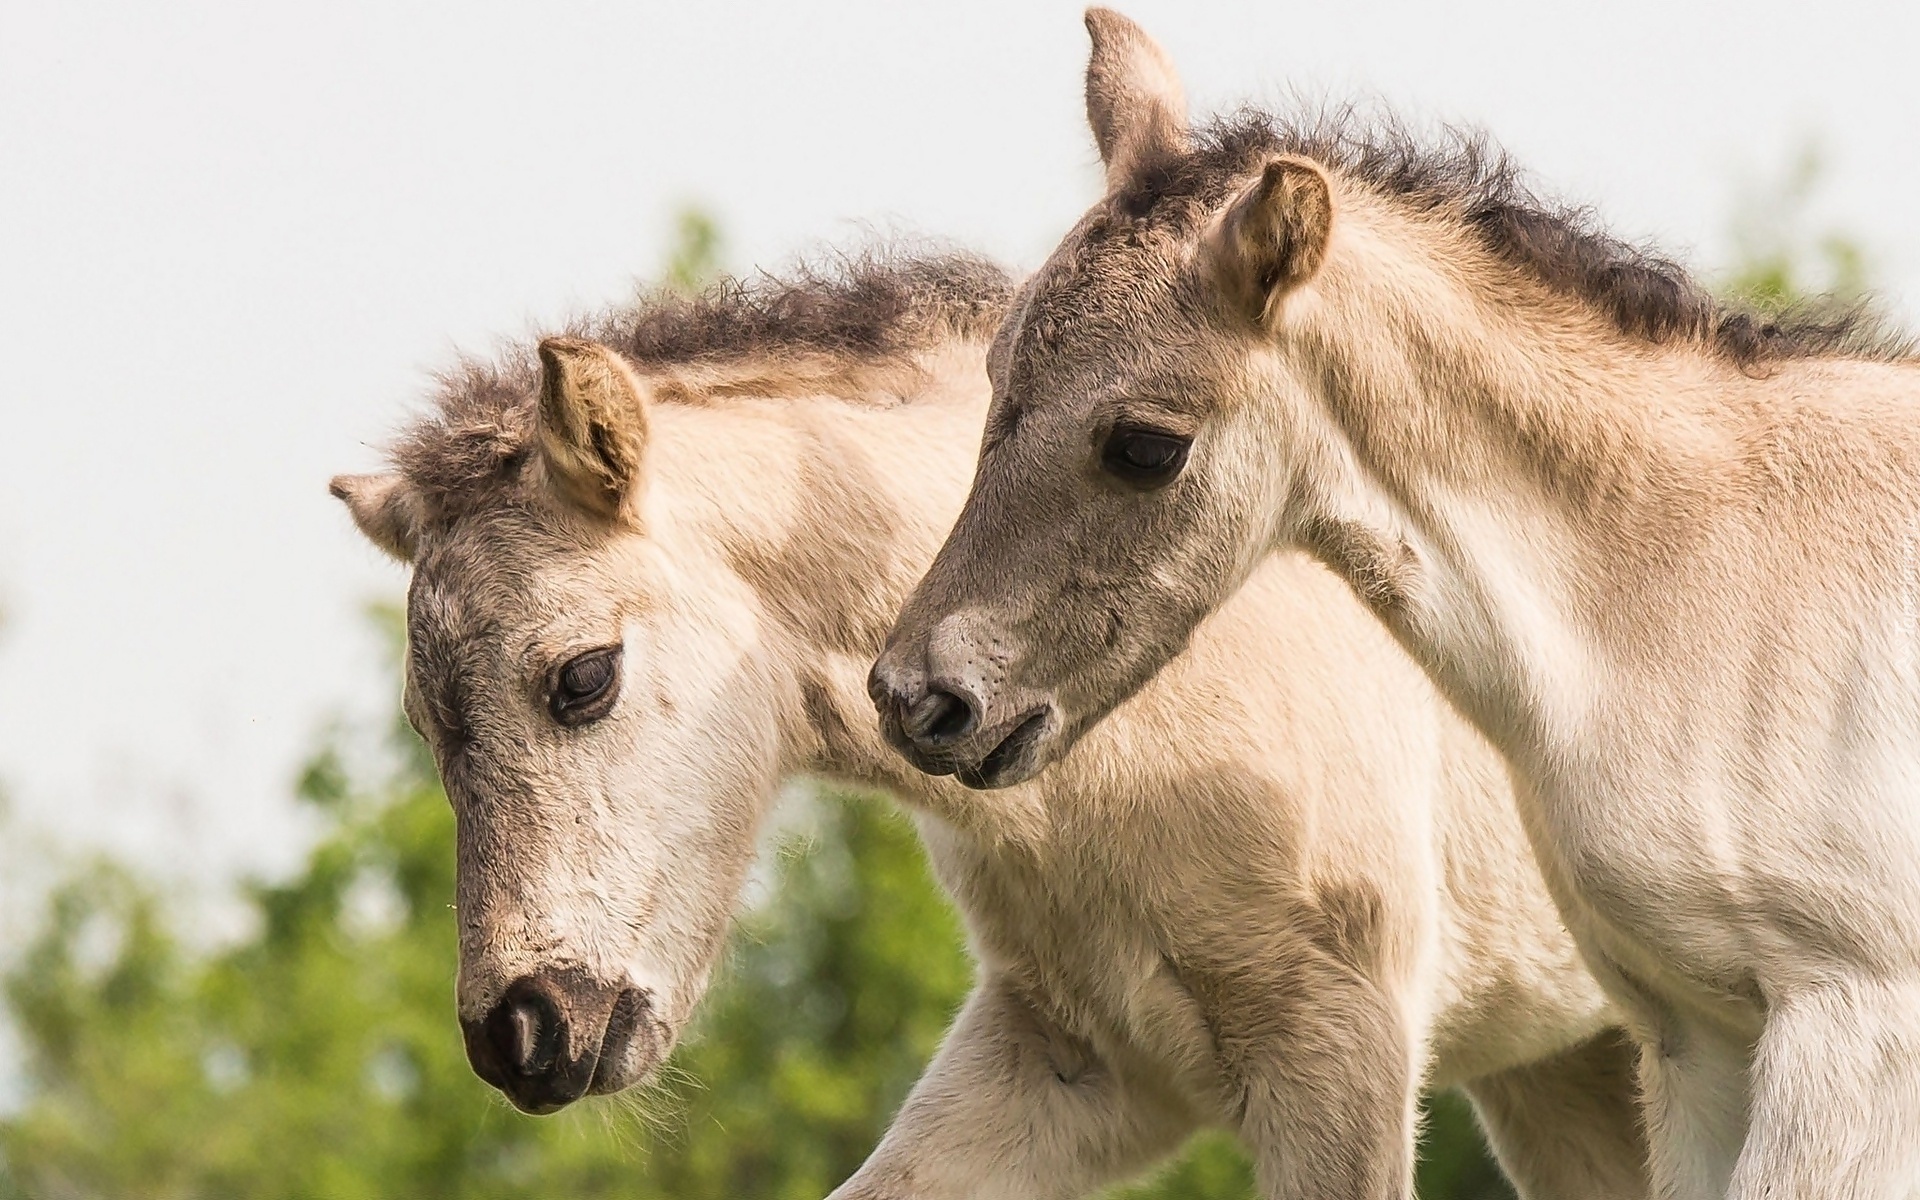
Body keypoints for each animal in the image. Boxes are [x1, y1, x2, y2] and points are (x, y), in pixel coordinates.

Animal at [337, 255, 1643, 1198]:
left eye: (582, 678)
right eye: (427, 729)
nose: (521, 1035)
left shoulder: (1339, 1053)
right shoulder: (1078, 1063)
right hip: (1564, 1068)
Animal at [879, 11, 1920, 1198]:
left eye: (1145, 445)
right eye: (993, 375)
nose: (920, 699)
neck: (1704, 585)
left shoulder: (1852, 1023)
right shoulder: (1696, 1038)